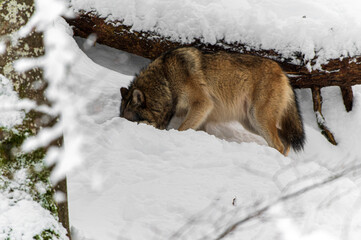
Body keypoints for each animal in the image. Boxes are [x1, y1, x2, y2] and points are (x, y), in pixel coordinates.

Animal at [120, 47, 304, 156]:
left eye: (131, 121)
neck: (167, 80)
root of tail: (283, 73)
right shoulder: (202, 117)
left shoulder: (203, 104)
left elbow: (181, 129)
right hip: (251, 123)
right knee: (285, 141)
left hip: (259, 119)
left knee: (280, 144)